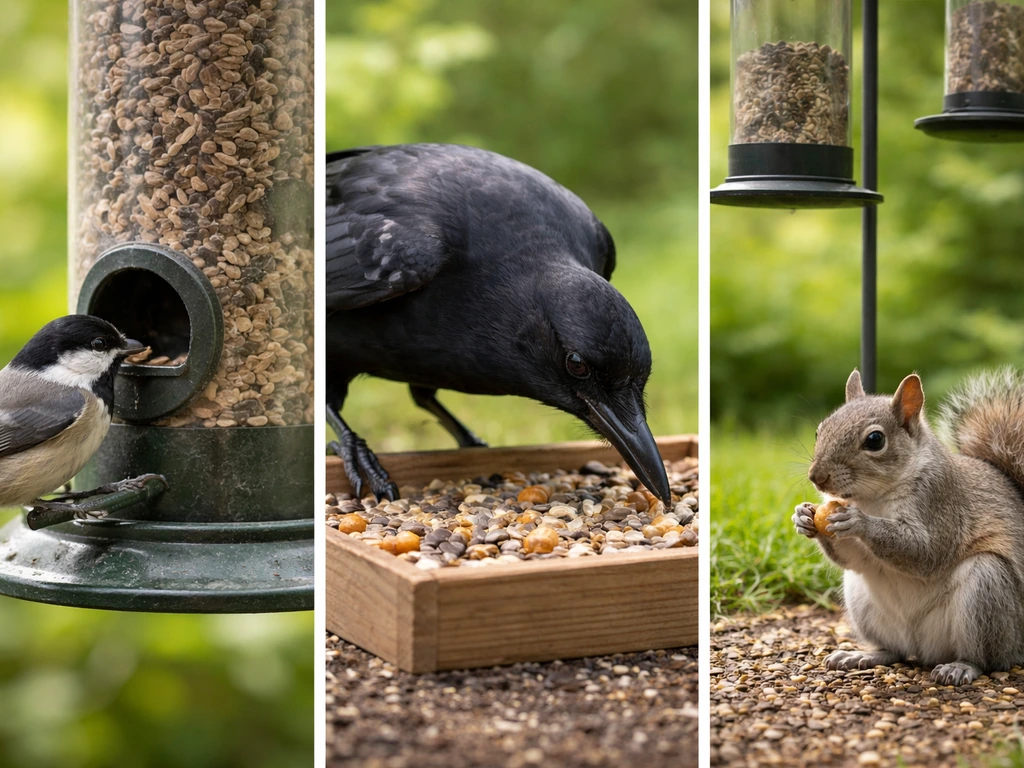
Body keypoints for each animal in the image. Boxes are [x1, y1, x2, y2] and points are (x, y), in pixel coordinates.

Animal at [793, 368, 1024, 686]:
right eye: (820, 430)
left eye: (875, 440)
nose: (817, 477)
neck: (872, 498)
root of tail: (924, 649)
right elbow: (855, 559)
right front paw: (803, 516)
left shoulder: (941, 503)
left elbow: (926, 552)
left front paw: (859, 523)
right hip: (863, 602)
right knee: (895, 651)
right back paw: (863, 655)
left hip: (987, 589)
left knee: (988, 659)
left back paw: (961, 666)